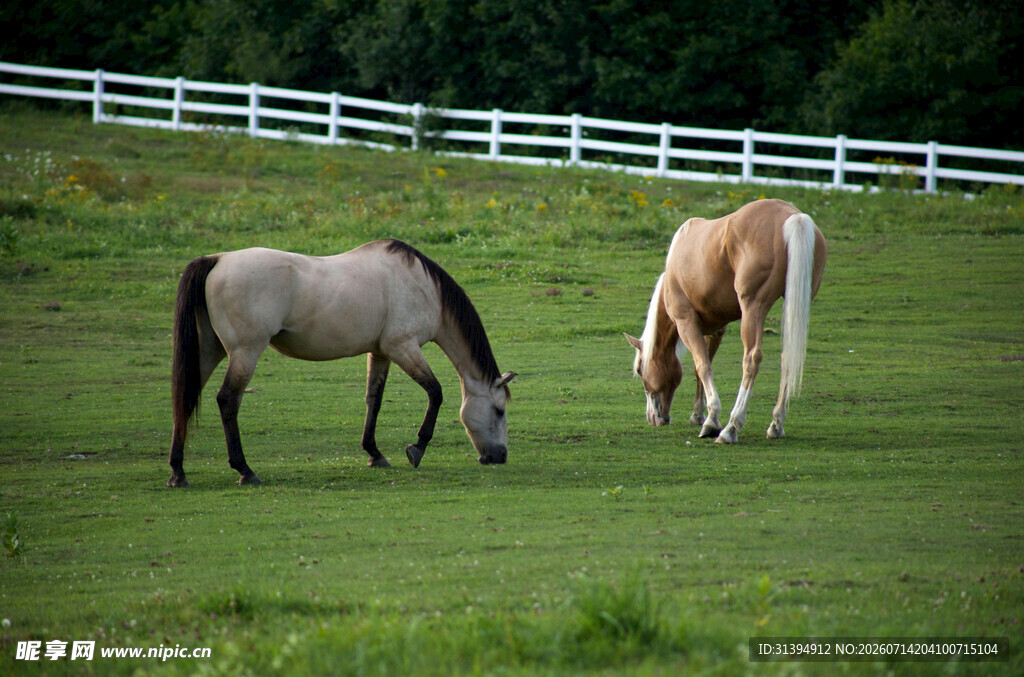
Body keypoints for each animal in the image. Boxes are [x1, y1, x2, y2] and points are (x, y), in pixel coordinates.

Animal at [167, 239, 516, 487]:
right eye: (499, 410)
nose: (500, 457)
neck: (423, 286)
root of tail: (217, 259)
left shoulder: (381, 352)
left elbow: (373, 400)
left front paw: (374, 454)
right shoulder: (403, 347)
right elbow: (436, 392)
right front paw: (416, 448)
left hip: (209, 351)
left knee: (185, 399)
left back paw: (178, 473)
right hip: (245, 352)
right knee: (228, 400)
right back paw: (245, 470)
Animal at [625, 199, 826, 444]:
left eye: (640, 370)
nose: (654, 418)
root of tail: (792, 216)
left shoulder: (686, 323)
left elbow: (702, 366)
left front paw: (711, 421)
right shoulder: (715, 329)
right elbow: (701, 367)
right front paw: (698, 415)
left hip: (753, 309)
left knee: (751, 359)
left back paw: (731, 427)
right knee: (787, 357)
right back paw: (776, 425)